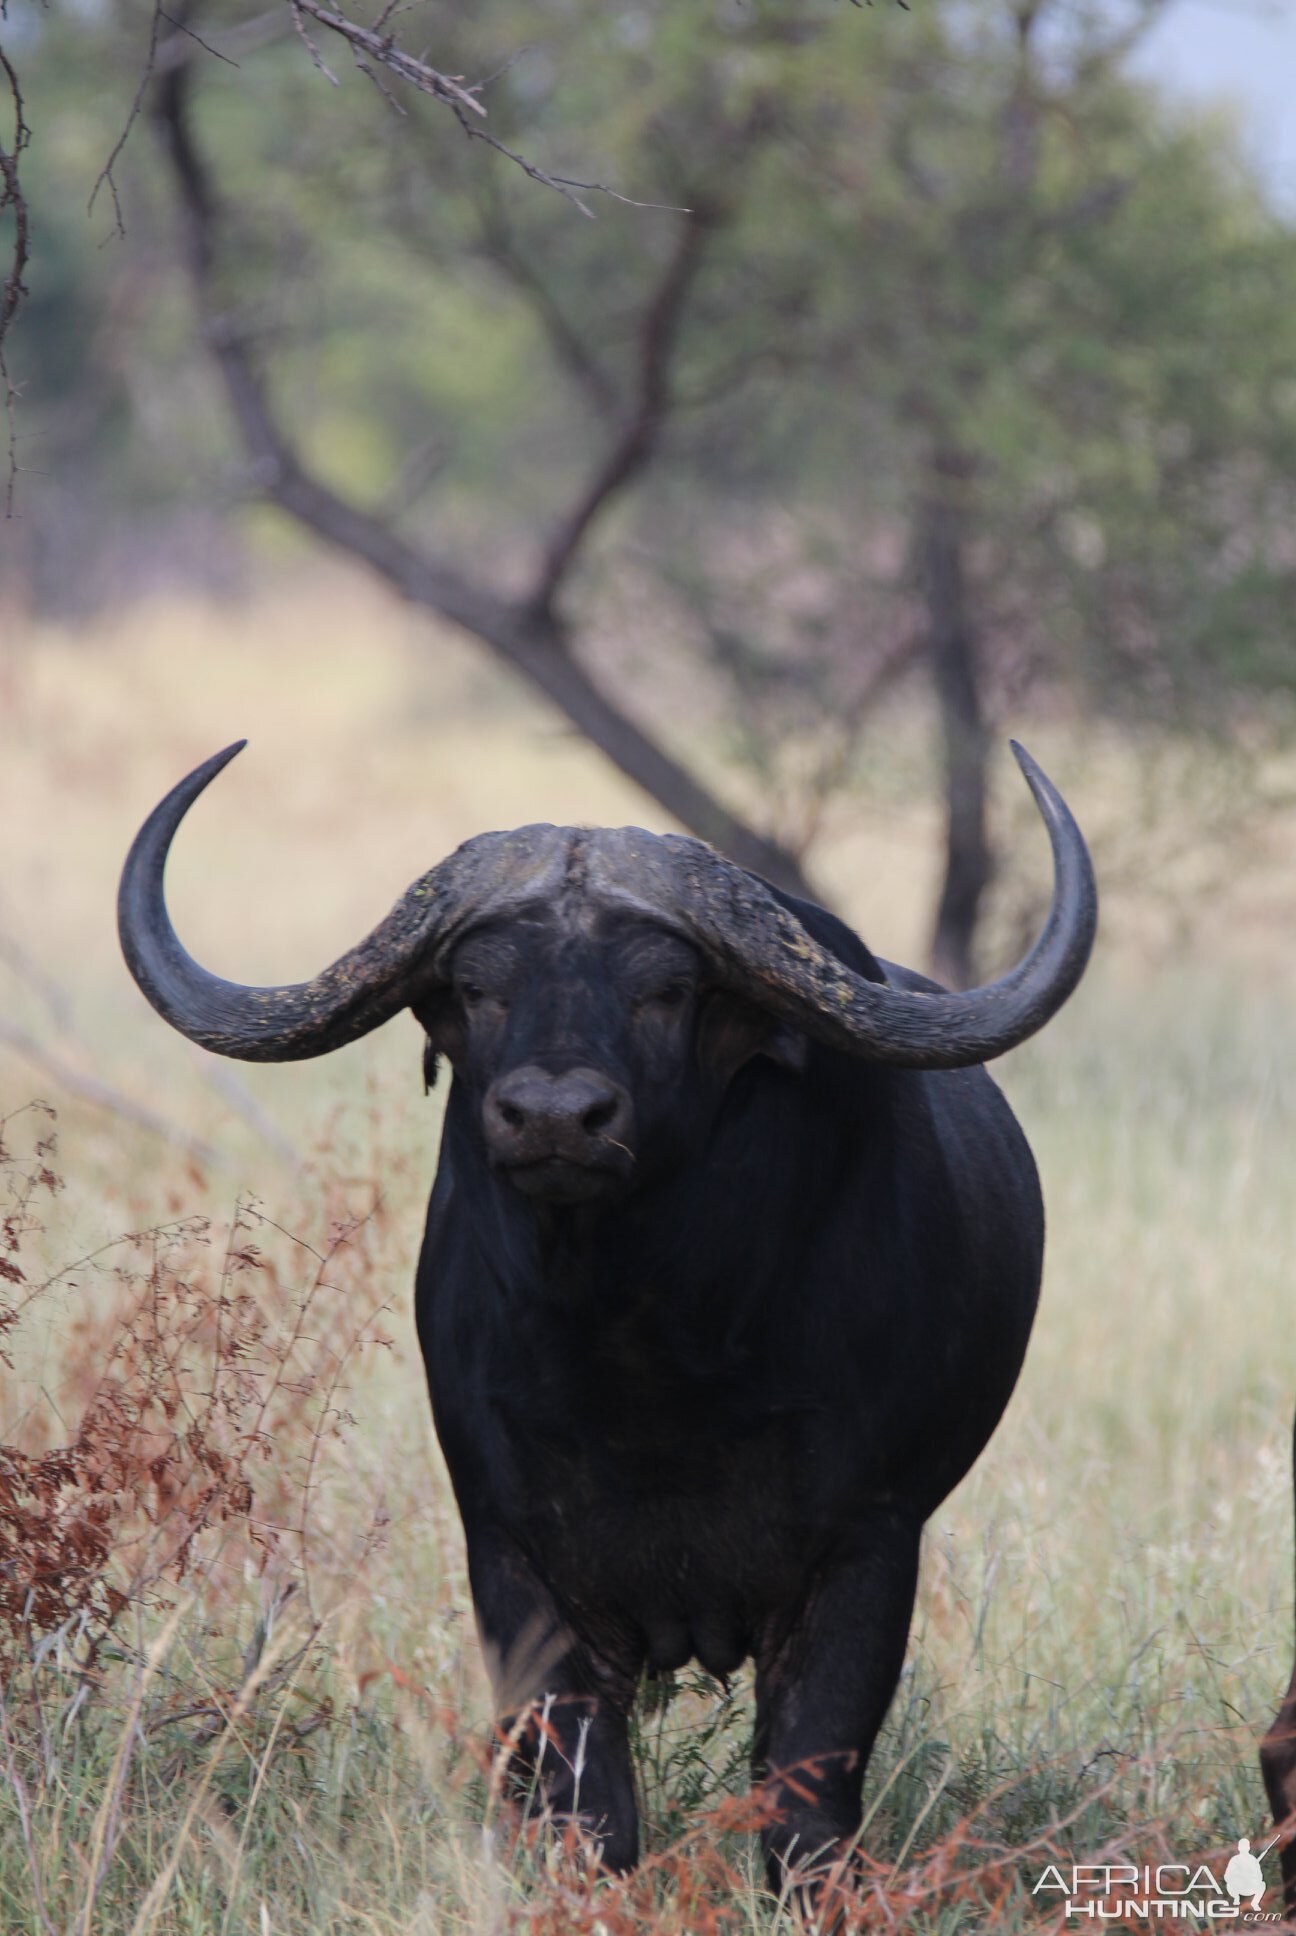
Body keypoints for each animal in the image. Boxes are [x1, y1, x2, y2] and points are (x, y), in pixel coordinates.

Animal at [118, 739, 1092, 1889]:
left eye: (666, 988)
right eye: (479, 985)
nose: (552, 1117)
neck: (645, 1363)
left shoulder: (868, 1546)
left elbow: (805, 1794)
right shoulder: (515, 1561)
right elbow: (587, 1802)